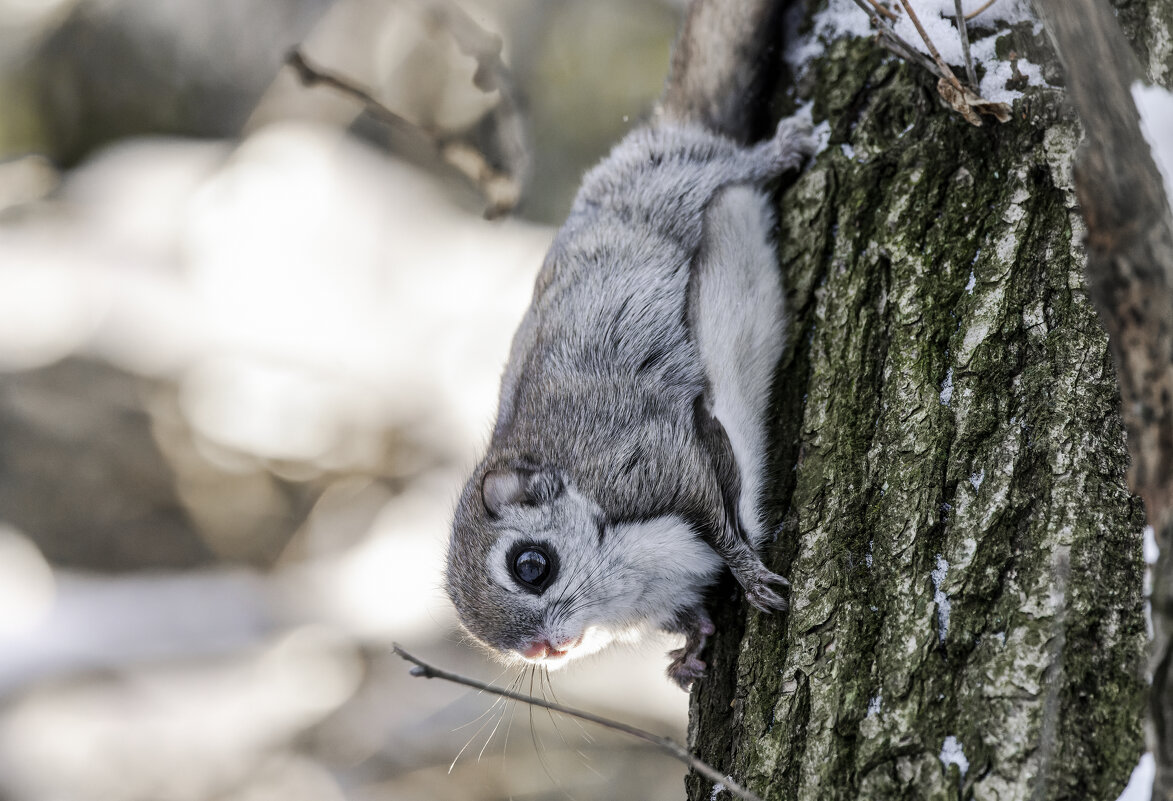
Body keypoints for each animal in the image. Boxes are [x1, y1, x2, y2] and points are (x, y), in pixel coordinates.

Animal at [443, 0, 811, 689]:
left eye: (530, 565)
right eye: (501, 647)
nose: (545, 650)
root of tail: (654, 131)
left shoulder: (652, 458)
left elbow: (718, 516)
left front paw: (750, 575)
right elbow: (687, 614)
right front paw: (688, 652)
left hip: (678, 181)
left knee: (732, 166)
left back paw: (782, 149)